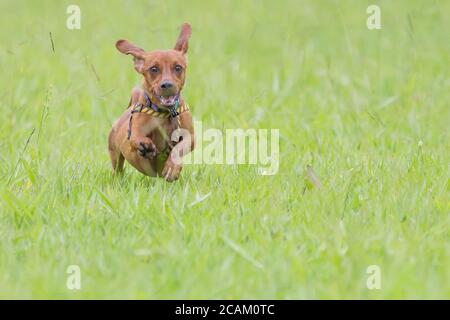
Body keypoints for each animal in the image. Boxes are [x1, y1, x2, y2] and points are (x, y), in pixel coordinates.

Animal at [109, 22, 195, 181]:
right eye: (154, 69)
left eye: (178, 67)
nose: (166, 85)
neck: (166, 114)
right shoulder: (134, 137)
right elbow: (137, 139)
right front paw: (146, 146)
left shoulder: (191, 137)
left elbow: (179, 147)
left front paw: (172, 168)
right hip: (115, 155)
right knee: (117, 169)